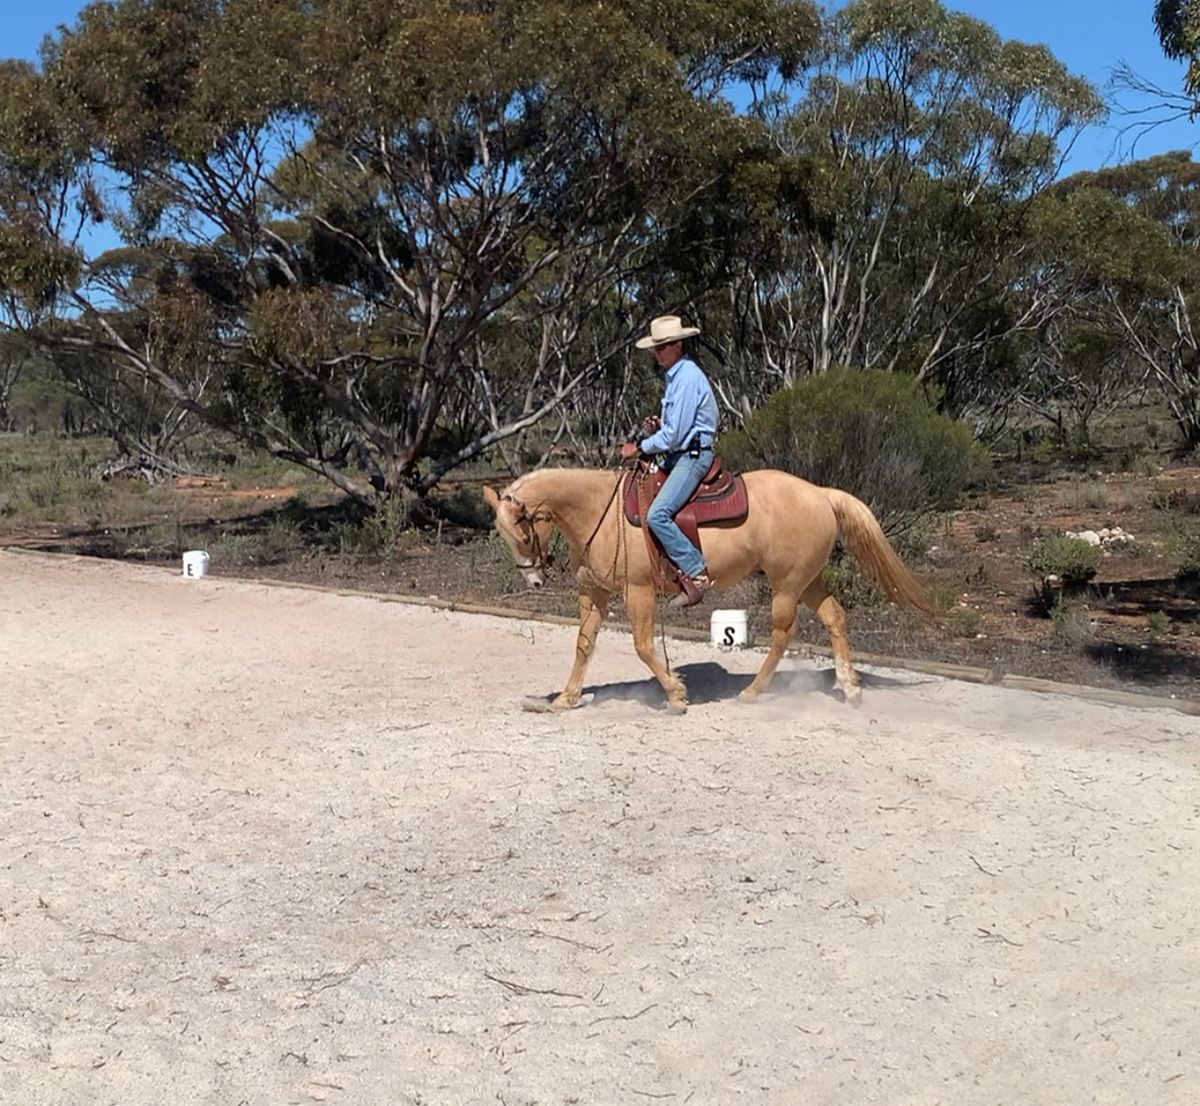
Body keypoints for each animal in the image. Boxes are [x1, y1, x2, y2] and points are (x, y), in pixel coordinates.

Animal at [482, 463, 931, 705]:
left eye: (522, 533)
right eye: (504, 535)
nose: (533, 578)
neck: (600, 511)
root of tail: (820, 493)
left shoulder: (638, 592)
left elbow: (642, 645)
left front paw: (676, 694)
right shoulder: (594, 592)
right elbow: (584, 644)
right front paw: (566, 698)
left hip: (786, 586)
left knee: (784, 632)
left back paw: (753, 690)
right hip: (808, 581)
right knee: (835, 618)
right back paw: (849, 688)